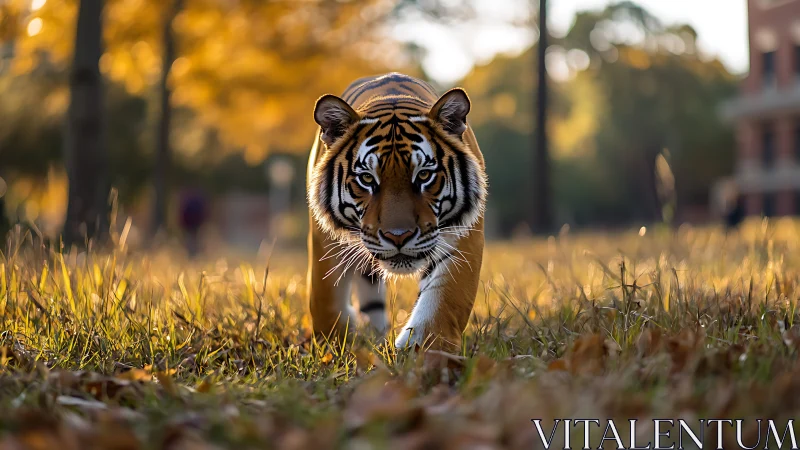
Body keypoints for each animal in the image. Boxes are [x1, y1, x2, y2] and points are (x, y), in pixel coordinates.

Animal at [306, 72, 487, 351]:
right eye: (367, 179)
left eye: (423, 175)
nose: (398, 236)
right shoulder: (324, 240)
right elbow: (326, 301)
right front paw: (337, 346)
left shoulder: (463, 236)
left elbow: (443, 303)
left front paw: (423, 351)